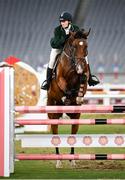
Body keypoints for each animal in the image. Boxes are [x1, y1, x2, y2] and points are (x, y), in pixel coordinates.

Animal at [47, 28, 90, 168]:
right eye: (74, 46)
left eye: (86, 46)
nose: (80, 67)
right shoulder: (60, 78)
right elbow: (63, 85)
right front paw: (66, 96)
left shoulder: (84, 75)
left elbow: (83, 80)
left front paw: (79, 96)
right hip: (52, 113)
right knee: (55, 134)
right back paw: (58, 160)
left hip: (76, 116)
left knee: (73, 134)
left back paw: (72, 160)